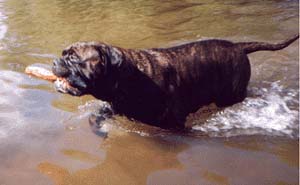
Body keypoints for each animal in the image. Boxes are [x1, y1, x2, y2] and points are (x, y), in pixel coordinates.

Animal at [51, 35, 298, 130]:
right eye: (64, 54)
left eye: (73, 58)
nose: (55, 61)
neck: (128, 79)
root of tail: (238, 46)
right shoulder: (113, 106)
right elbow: (96, 117)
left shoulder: (174, 124)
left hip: (231, 94)